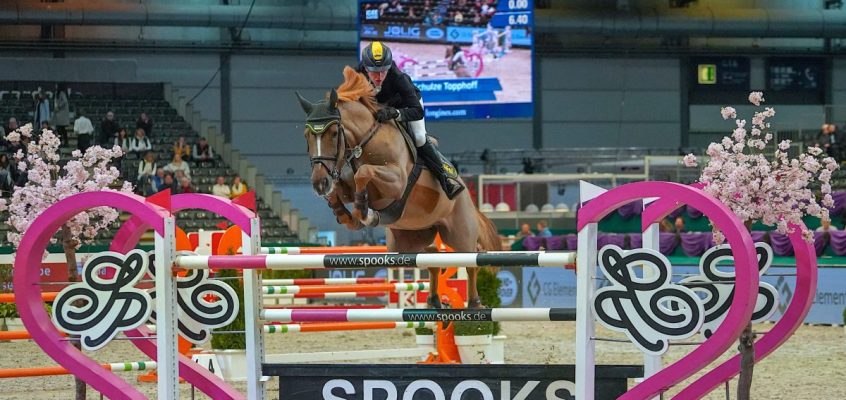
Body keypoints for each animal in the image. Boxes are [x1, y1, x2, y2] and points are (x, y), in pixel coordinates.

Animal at [296, 67, 500, 308]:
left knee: (471, 260)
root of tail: (469, 199)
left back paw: (475, 303)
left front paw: (364, 211)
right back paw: (433, 300)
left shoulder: (396, 182)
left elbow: (365, 173)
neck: (367, 142)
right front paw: (345, 214)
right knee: (432, 258)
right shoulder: (345, 184)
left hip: (459, 234)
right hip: (408, 242)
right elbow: (340, 190)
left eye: (334, 133)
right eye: (307, 136)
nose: (319, 183)